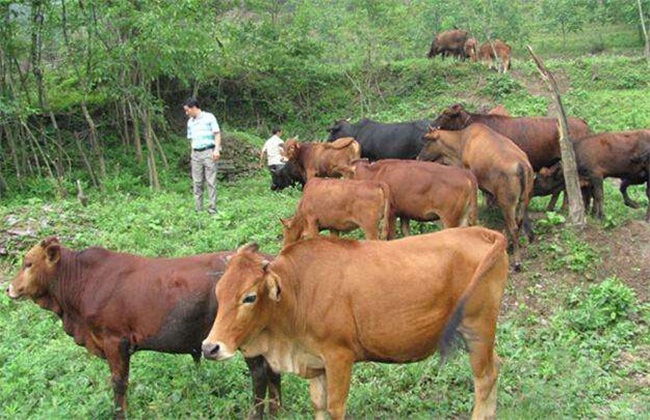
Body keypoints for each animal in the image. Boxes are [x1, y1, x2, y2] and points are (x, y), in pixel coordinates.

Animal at [6, 238, 280, 418]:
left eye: (28, 263)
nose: (9, 288)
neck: (83, 281)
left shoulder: (115, 340)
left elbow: (119, 383)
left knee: (259, 374)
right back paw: (276, 411)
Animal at [201, 228, 506, 420]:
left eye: (249, 297)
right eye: (219, 291)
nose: (210, 347)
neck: (299, 292)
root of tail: (482, 232)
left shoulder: (339, 356)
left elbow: (336, 407)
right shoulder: (316, 363)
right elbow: (319, 405)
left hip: (477, 327)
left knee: (483, 378)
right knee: (495, 367)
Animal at [420, 124, 532, 270]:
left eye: (427, 140)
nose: (418, 157)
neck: (461, 140)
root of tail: (522, 164)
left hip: (507, 203)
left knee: (513, 227)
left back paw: (517, 261)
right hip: (524, 200)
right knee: (519, 222)